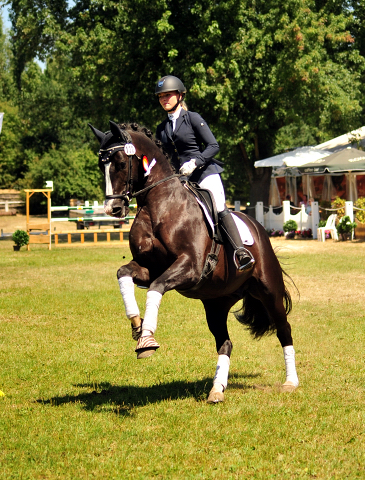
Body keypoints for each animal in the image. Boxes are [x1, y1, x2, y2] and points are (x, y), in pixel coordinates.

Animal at [89, 119, 298, 402]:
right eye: (101, 164)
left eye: (121, 162)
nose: (113, 209)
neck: (159, 205)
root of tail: (258, 227)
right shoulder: (151, 268)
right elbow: (123, 273)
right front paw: (137, 325)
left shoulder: (189, 267)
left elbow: (156, 289)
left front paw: (147, 339)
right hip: (216, 303)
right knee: (225, 343)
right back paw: (217, 389)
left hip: (269, 290)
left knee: (283, 330)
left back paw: (290, 382)